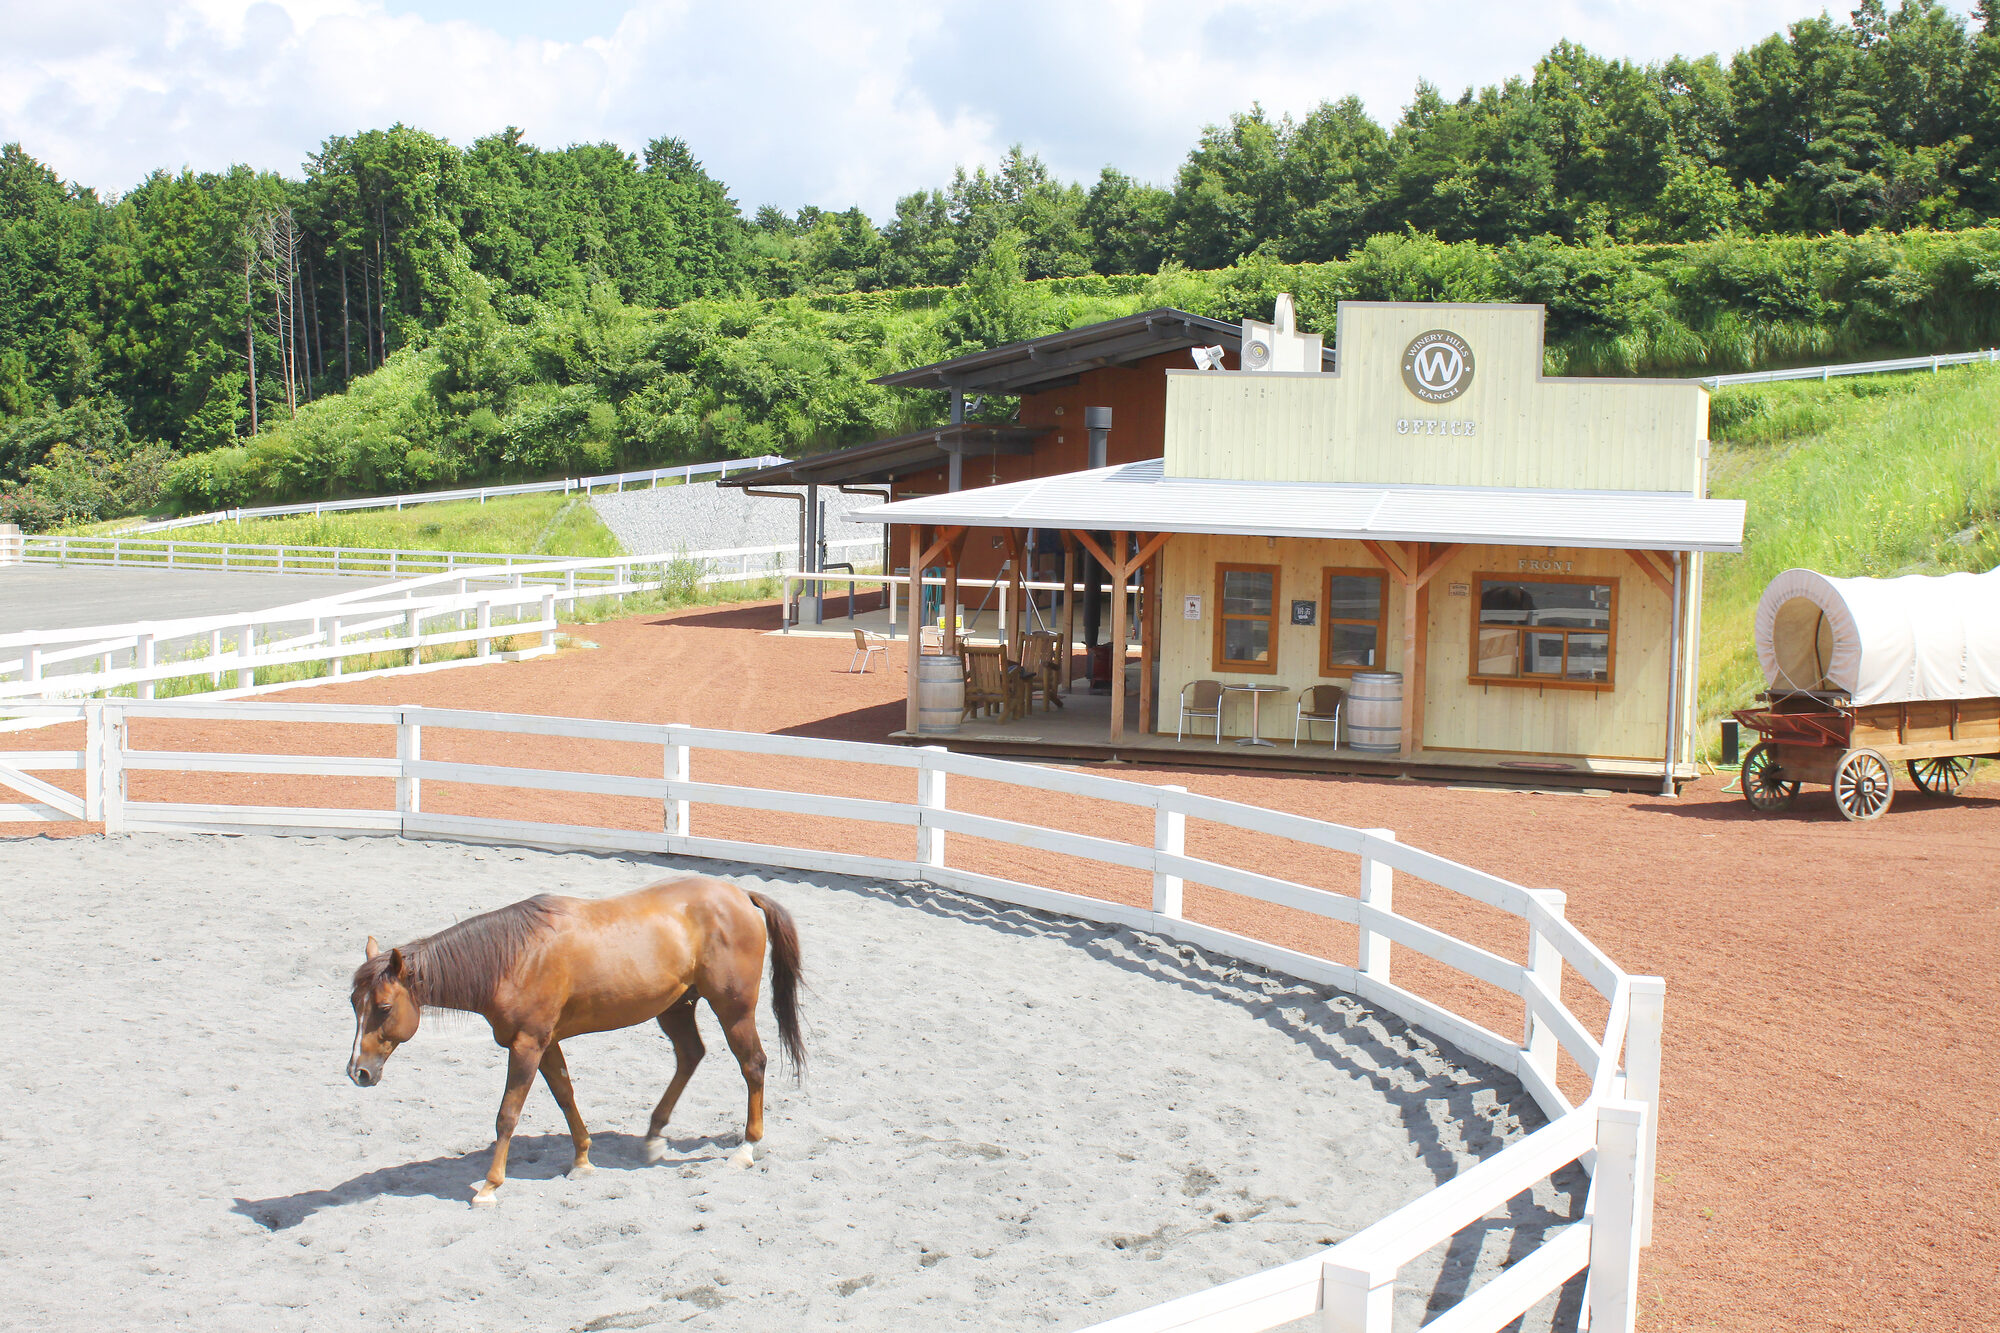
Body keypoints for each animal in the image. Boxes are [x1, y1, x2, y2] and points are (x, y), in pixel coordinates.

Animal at [346, 875, 804, 1205]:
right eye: (353, 1003)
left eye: (383, 1007)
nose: (358, 1072)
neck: (515, 958)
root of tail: (741, 895)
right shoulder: (545, 1043)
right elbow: (565, 1096)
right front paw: (582, 1159)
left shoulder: (527, 1045)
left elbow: (507, 1116)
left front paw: (490, 1186)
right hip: (676, 1007)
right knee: (691, 1055)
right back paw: (655, 1135)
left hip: (733, 1010)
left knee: (753, 1065)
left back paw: (746, 1148)